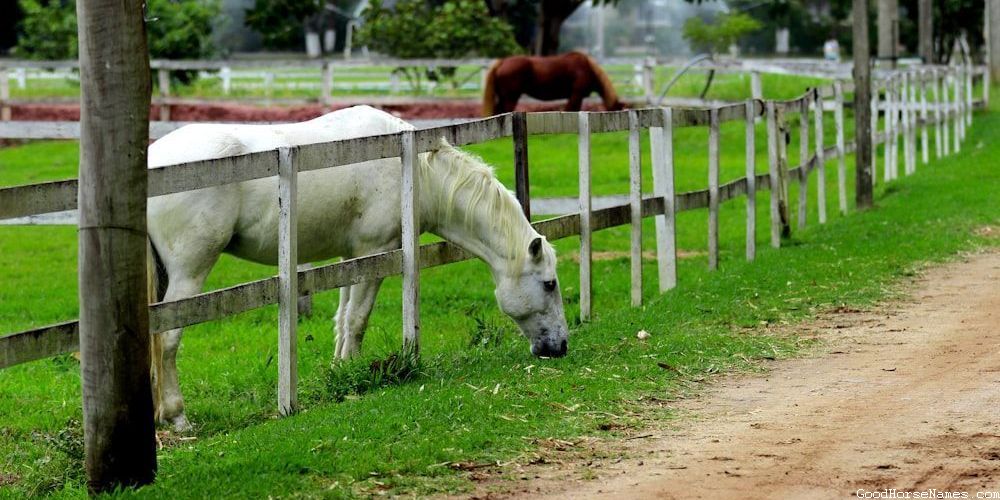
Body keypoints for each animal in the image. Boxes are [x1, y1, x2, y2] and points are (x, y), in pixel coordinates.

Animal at [147, 106, 570, 431]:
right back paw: (177, 417)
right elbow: (358, 319)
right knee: (167, 338)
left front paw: (338, 372)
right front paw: (350, 376)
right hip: (188, 273)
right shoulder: (374, 252)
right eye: (549, 284)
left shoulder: (349, 259)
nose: (561, 347)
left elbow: (342, 319)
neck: (415, 171)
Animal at [482, 51, 624, 116]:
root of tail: (502, 62)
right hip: (511, 97)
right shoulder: (576, 95)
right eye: (616, 110)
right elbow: (570, 110)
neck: (587, 67)